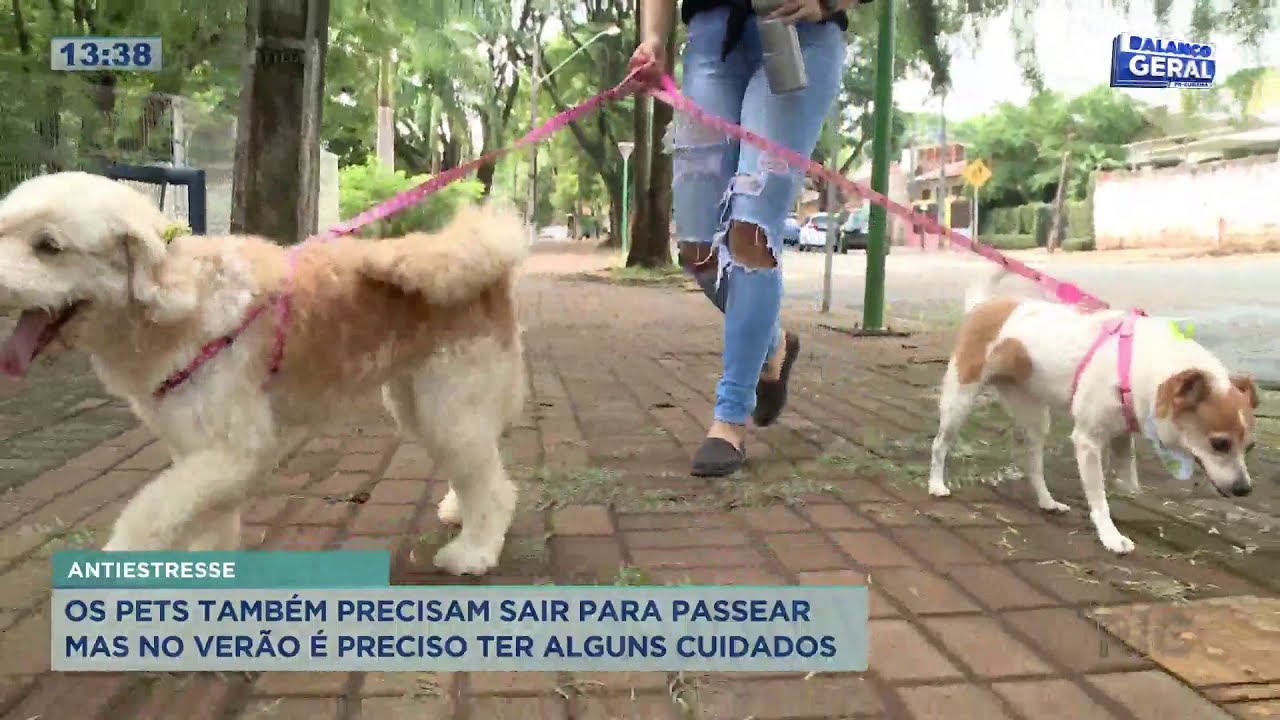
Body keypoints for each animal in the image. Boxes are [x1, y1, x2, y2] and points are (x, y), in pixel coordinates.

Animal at [0, 169, 524, 571]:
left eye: (48, 246)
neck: (182, 305)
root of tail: (483, 263)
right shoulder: (198, 451)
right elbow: (203, 520)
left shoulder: (235, 450)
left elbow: (150, 512)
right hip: (420, 403)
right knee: (476, 470)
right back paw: (461, 513)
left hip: (449, 403)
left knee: (495, 487)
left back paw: (474, 553)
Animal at [931, 266, 1259, 550]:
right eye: (1219, 444)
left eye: (1250, 447)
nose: (1245, 489)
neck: (1140, 362)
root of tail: (983, 305)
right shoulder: (1087, 441)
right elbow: (1099, 496)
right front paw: (1111, 537)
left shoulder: (1122, 431)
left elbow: (1126, 480)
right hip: (959, 400)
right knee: (940, 444)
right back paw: (936, 484)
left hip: (1035, 416)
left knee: (1033, 464)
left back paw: (1047, 502)